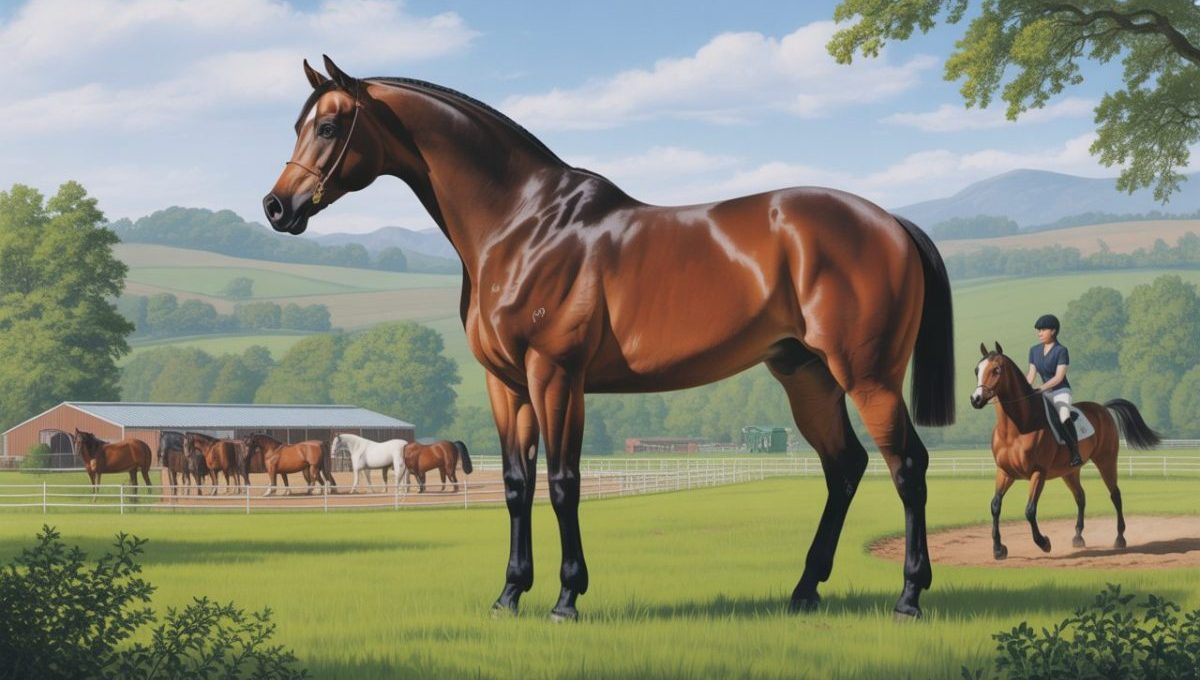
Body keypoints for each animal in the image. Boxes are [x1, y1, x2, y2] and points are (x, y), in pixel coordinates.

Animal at [264, 57, 956, 620]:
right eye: (298, 125)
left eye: (329, 127)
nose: (277, 207)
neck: (524, 224)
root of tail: (890, 222)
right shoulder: (506, 384)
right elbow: (517, 485)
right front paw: (510, 594)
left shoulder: (555, 374)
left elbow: (563, 482)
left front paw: (567, 598)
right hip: (805, 374)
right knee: (845, 467)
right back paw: (805, 591)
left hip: (866, 376)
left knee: (907, 467)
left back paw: (909, 597)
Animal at [970, 342, 1161, 558]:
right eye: (977, 370)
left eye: (996, 370)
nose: (976, 399)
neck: (1016, 428)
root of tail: (1103, 408)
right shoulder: (1004, 472)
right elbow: (995, 505)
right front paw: (998, 549)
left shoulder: (1038, 472)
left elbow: (1030, 510)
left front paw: (1043, 542)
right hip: (1070, 471)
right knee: (1080, 497)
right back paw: (1078, 536)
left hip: (1106, 461)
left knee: (1115, 495)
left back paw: (1120, 538)